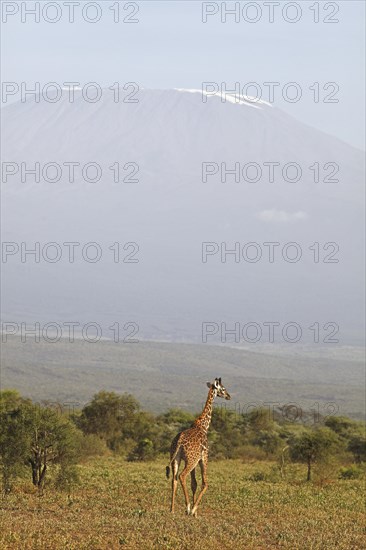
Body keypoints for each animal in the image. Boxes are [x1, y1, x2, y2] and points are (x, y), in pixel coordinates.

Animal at [167, 380, 230, 516]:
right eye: (223, 388)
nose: (229, 396)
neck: (203, 425)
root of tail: (179, 441)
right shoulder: (203, 457)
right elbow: (205, 483)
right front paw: (193, 510)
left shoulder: (196, 461)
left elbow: (194, 484)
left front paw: (194, 514)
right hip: (191, 460)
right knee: (182, 476)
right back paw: (188, 507)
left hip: (176, 458)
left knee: (174, 480)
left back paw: (172, 509)